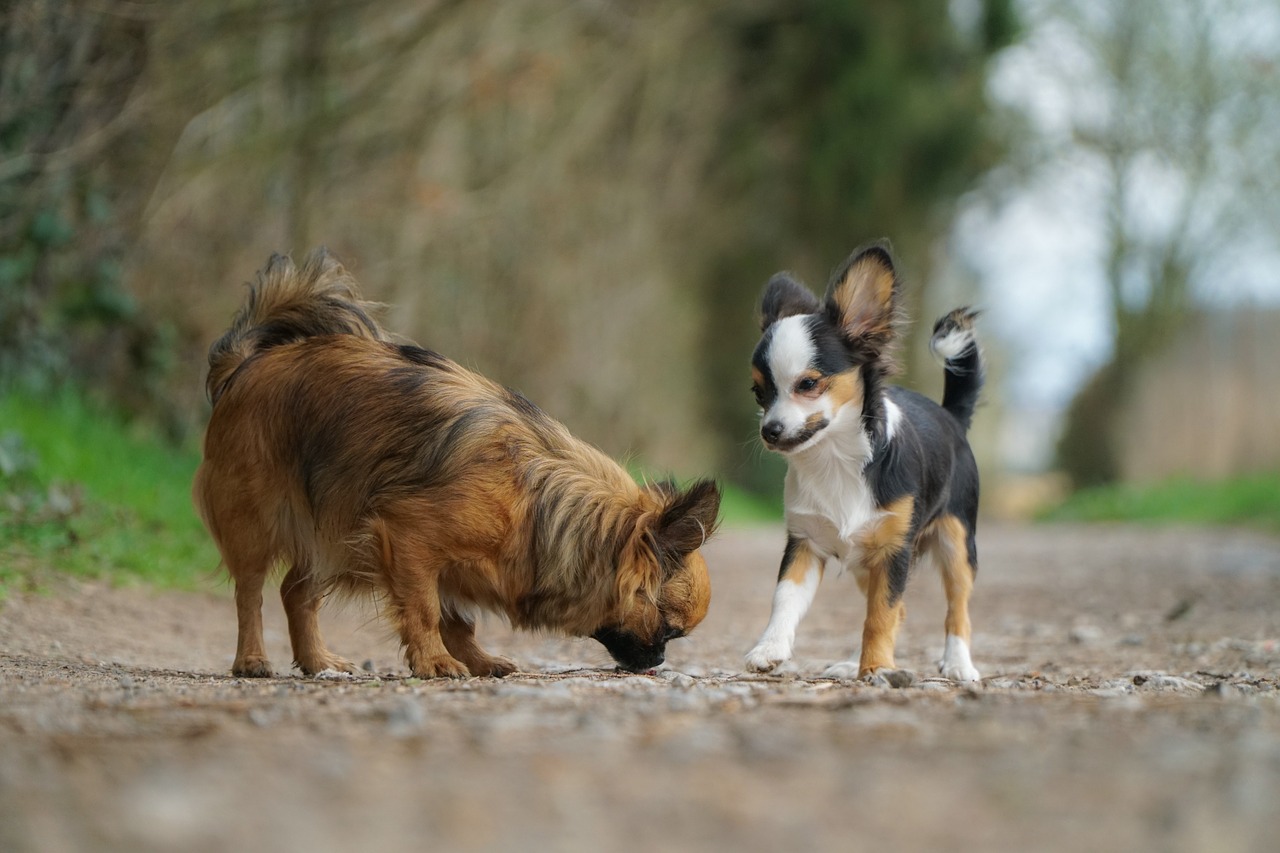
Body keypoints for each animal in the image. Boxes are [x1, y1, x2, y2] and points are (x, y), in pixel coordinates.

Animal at [195, 247, 727, 676]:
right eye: (668, 629)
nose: (659, 661)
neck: (535, 504)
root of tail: (247, 362)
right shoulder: (409, 539)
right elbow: (426, 610)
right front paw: (434, 662)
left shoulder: (434, 562)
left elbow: (458, 621)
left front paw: (477, 661)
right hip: (259, 521)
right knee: (251, 592)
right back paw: (252, 660)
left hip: (332, 523)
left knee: (295, 592)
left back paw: (316, 661)